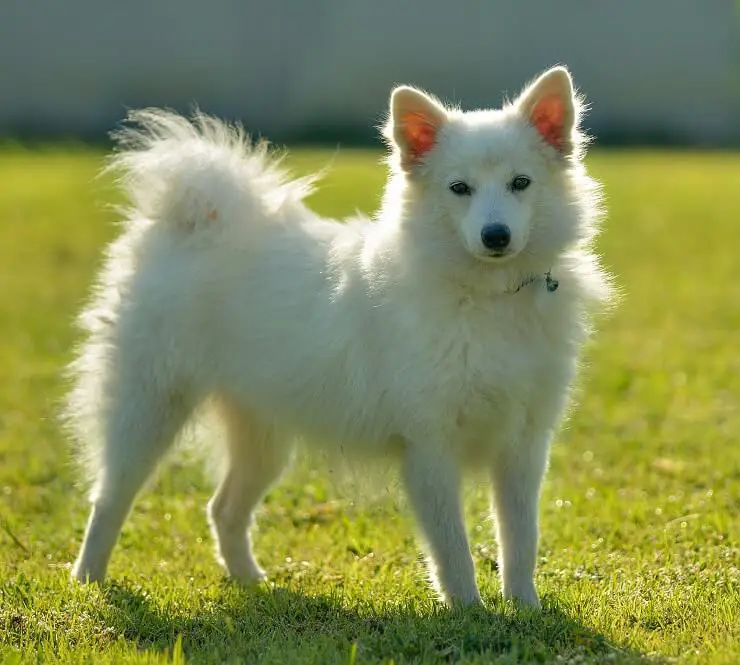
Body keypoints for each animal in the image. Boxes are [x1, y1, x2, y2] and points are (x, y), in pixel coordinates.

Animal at [68, 66, 612, 608]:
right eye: (459, 188)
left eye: (521, 183)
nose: (495, 235)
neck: (486, 295)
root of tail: (195, 222)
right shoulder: (429, 447)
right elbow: (452, 548)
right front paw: (469, 612)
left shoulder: (524, 444)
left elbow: (521, 538)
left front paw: (525, 608)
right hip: (148, 407)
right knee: (109, 498)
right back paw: (88, 579)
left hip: (262, 435)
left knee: (223, 508)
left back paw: (253, 582)